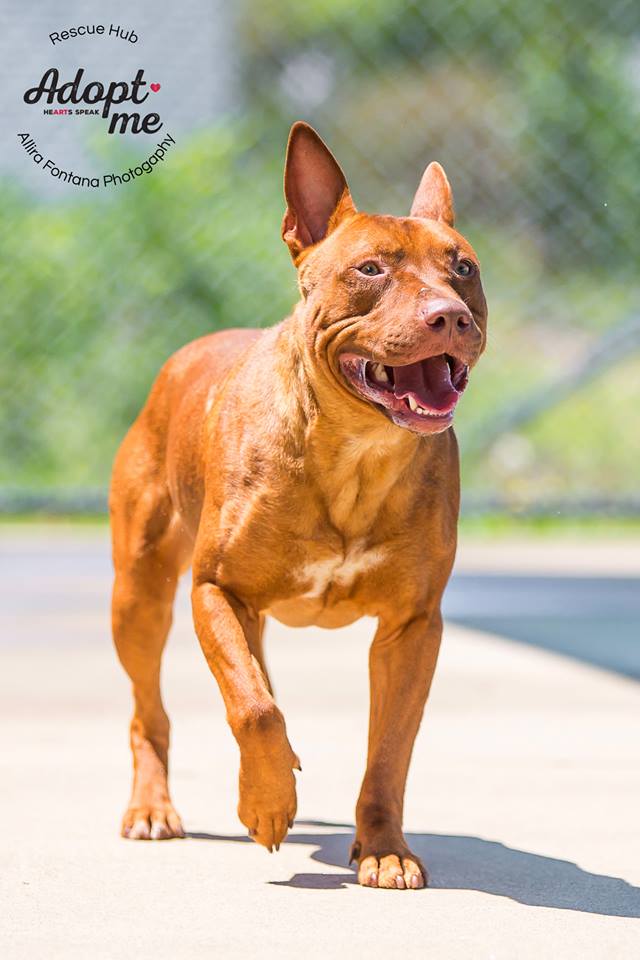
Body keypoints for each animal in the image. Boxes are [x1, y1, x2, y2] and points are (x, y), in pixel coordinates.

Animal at [110, 122, 487, 890]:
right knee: (153, 711)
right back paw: (154, 806)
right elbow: (254, 708)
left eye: (463, 269)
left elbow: (388, 751)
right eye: (371, 269)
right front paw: (266, 804)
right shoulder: (216, 591)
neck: (355, 455)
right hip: (139, 598)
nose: (451, 316)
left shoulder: (412, 629)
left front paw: (383, 847)